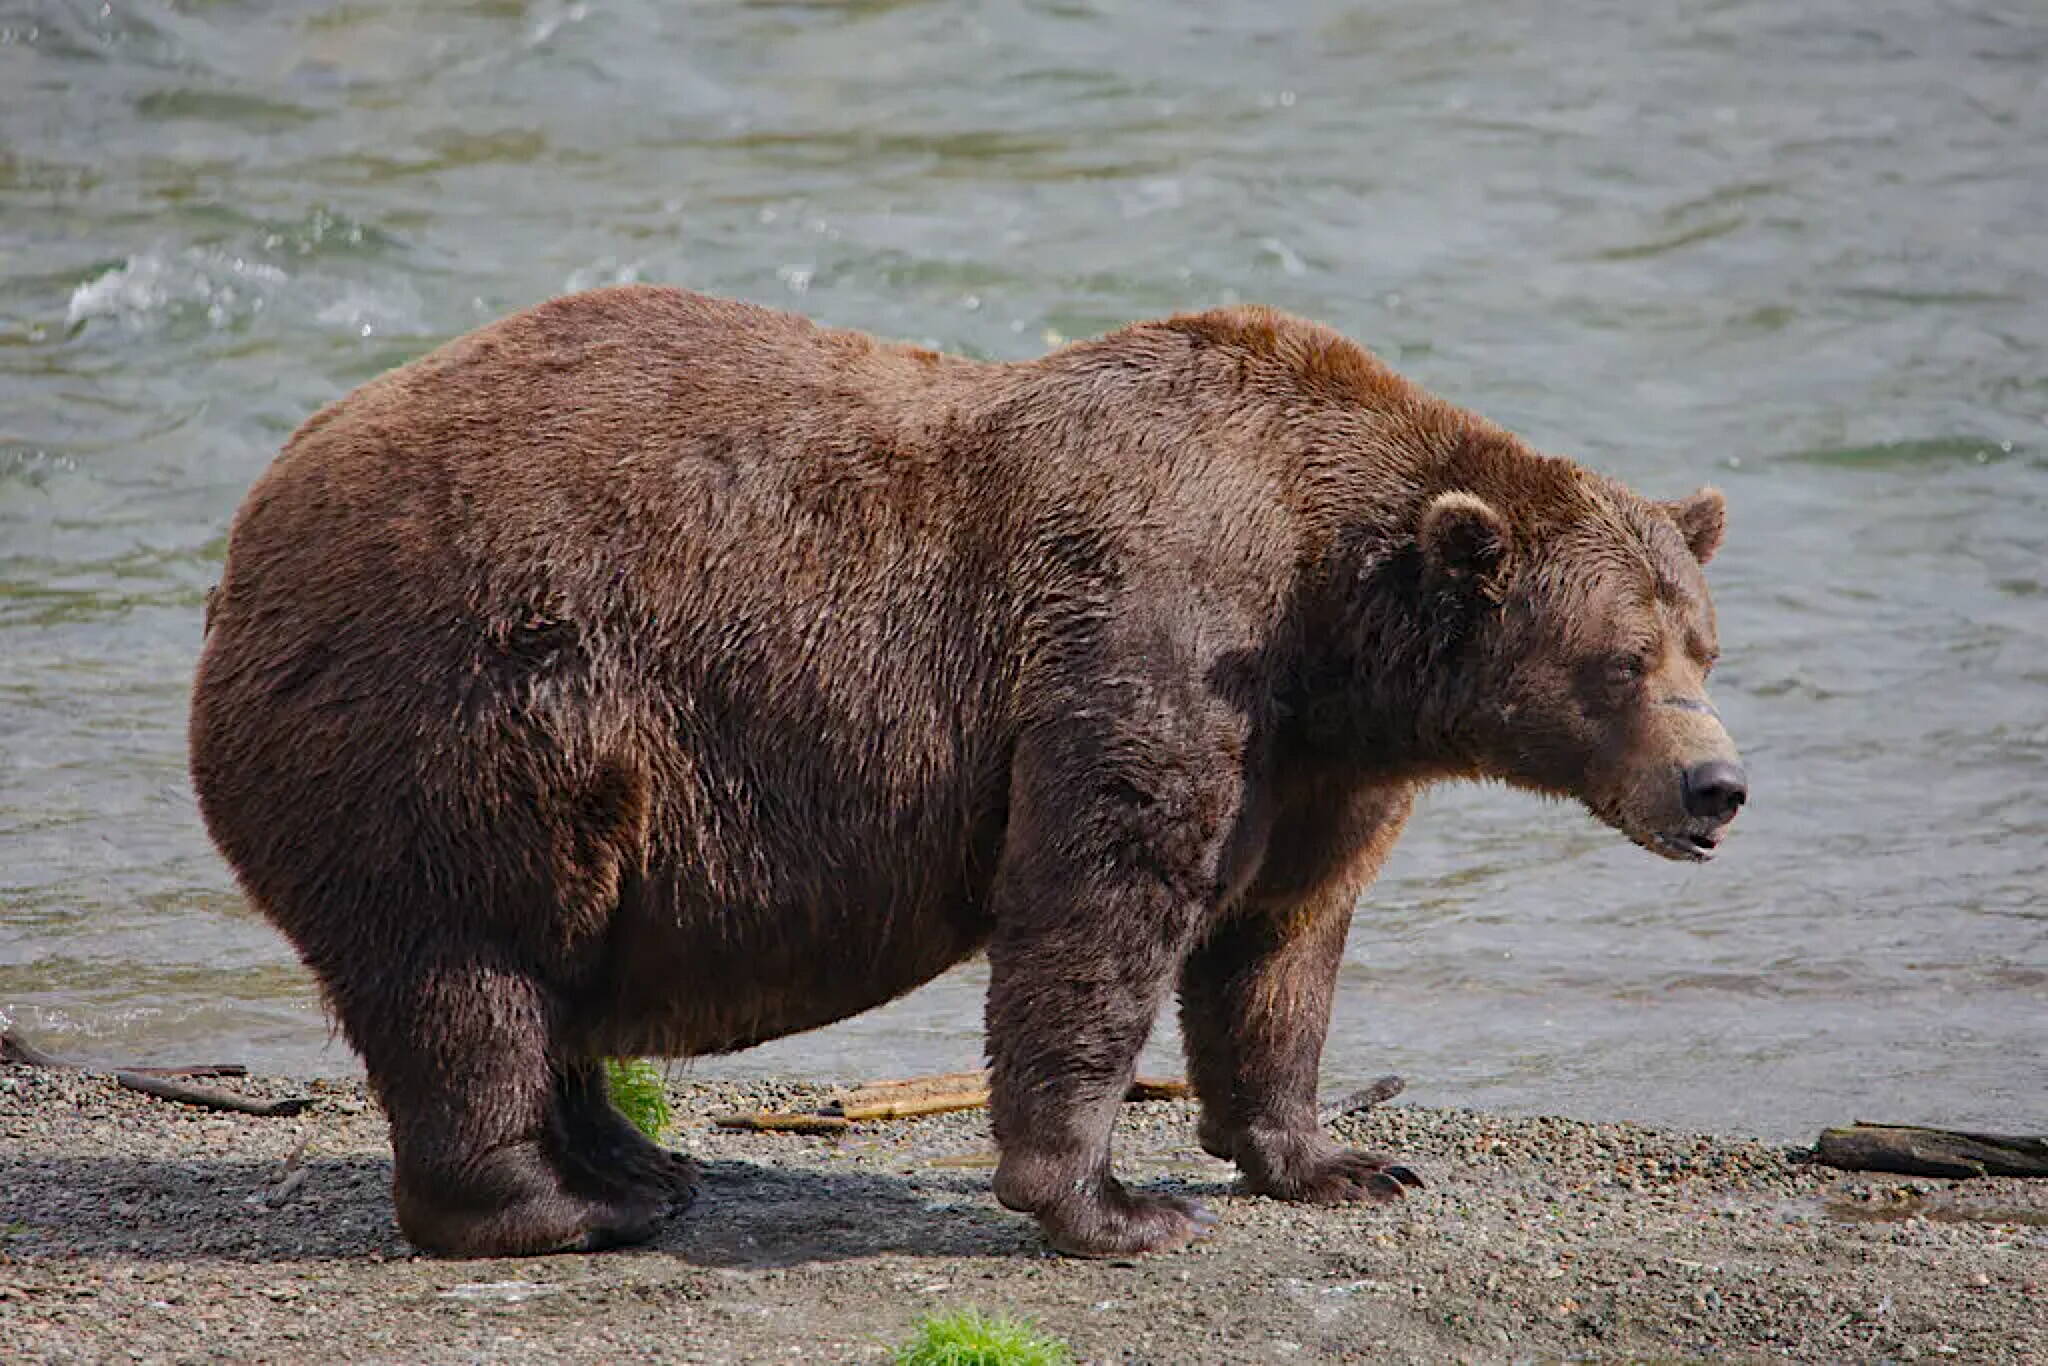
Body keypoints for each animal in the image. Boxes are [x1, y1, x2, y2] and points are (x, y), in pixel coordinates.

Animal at [188, 288, 1744, 1261]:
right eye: (1619, 660)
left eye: (1704, 643)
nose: (1715, 787)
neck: (1331, 614)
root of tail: (249, 529)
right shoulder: (1151, 635)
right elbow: (1098, 903)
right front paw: (1114, 1206)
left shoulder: (1314, 763)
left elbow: (1278, 944)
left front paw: (1336, 1158)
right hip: (464, 710)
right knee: (469, 970)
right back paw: (557, 1205)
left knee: (549, 973)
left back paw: (640, 1165)